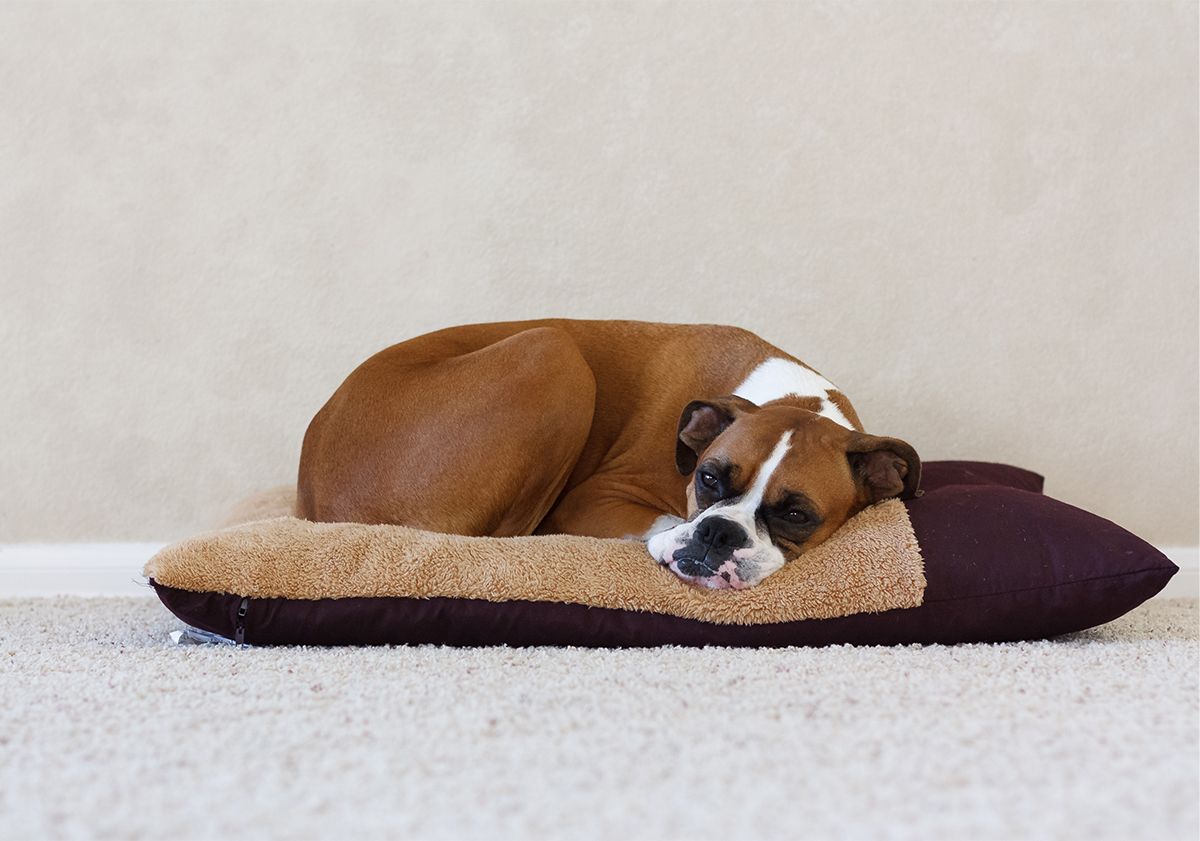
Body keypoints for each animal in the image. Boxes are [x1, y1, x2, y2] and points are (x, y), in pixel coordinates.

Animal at [297, 319, 916, 587]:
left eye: (795, 514)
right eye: (709, 478)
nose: (718, 534)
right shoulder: (592, 498)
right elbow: (659, 521)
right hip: (552, 351)